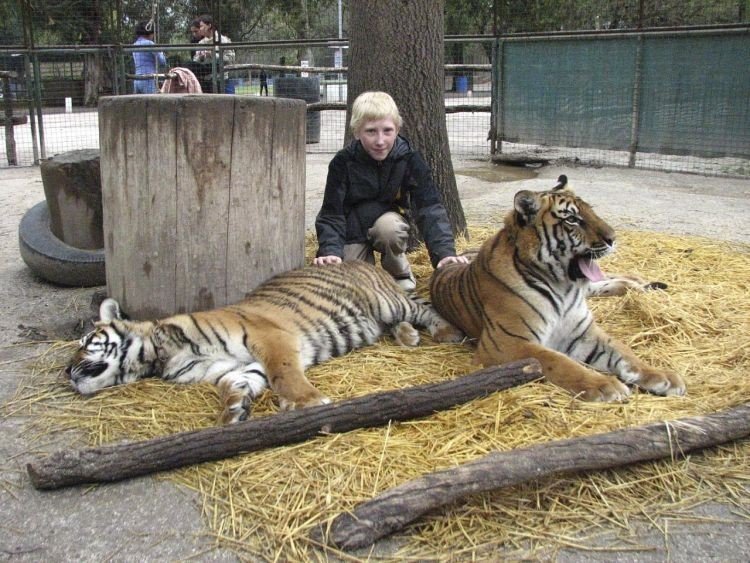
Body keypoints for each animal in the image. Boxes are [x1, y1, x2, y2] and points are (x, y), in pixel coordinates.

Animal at [66, 262, 464, 426]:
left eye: (86, 342)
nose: (67, 371)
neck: (160, 355)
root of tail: (367, 263)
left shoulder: (269, 337)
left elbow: (284, 374)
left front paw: (308, 401)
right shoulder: (233, 366)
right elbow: (236, 382)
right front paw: (233, 410)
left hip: (387, 301)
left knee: (423, 309)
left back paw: (446, 332)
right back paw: (407, 335)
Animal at [432, 176, 692, 400]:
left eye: (591, 211)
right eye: (572, 220)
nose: (613, 238)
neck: (563, 287)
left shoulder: (584, 333)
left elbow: (624, 352)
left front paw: (662, 376)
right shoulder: (505, 343)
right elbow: (559, 361)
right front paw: (604, 385)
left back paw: (639, 282)